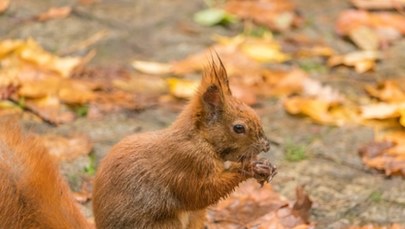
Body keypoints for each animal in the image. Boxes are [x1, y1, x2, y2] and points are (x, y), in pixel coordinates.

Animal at [0, 58, 274, 228]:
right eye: (239, 128)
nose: (266, 146)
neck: (199, 138)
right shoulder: (185, 162)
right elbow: (202, 192)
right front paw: (251, 168)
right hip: (163, 225)